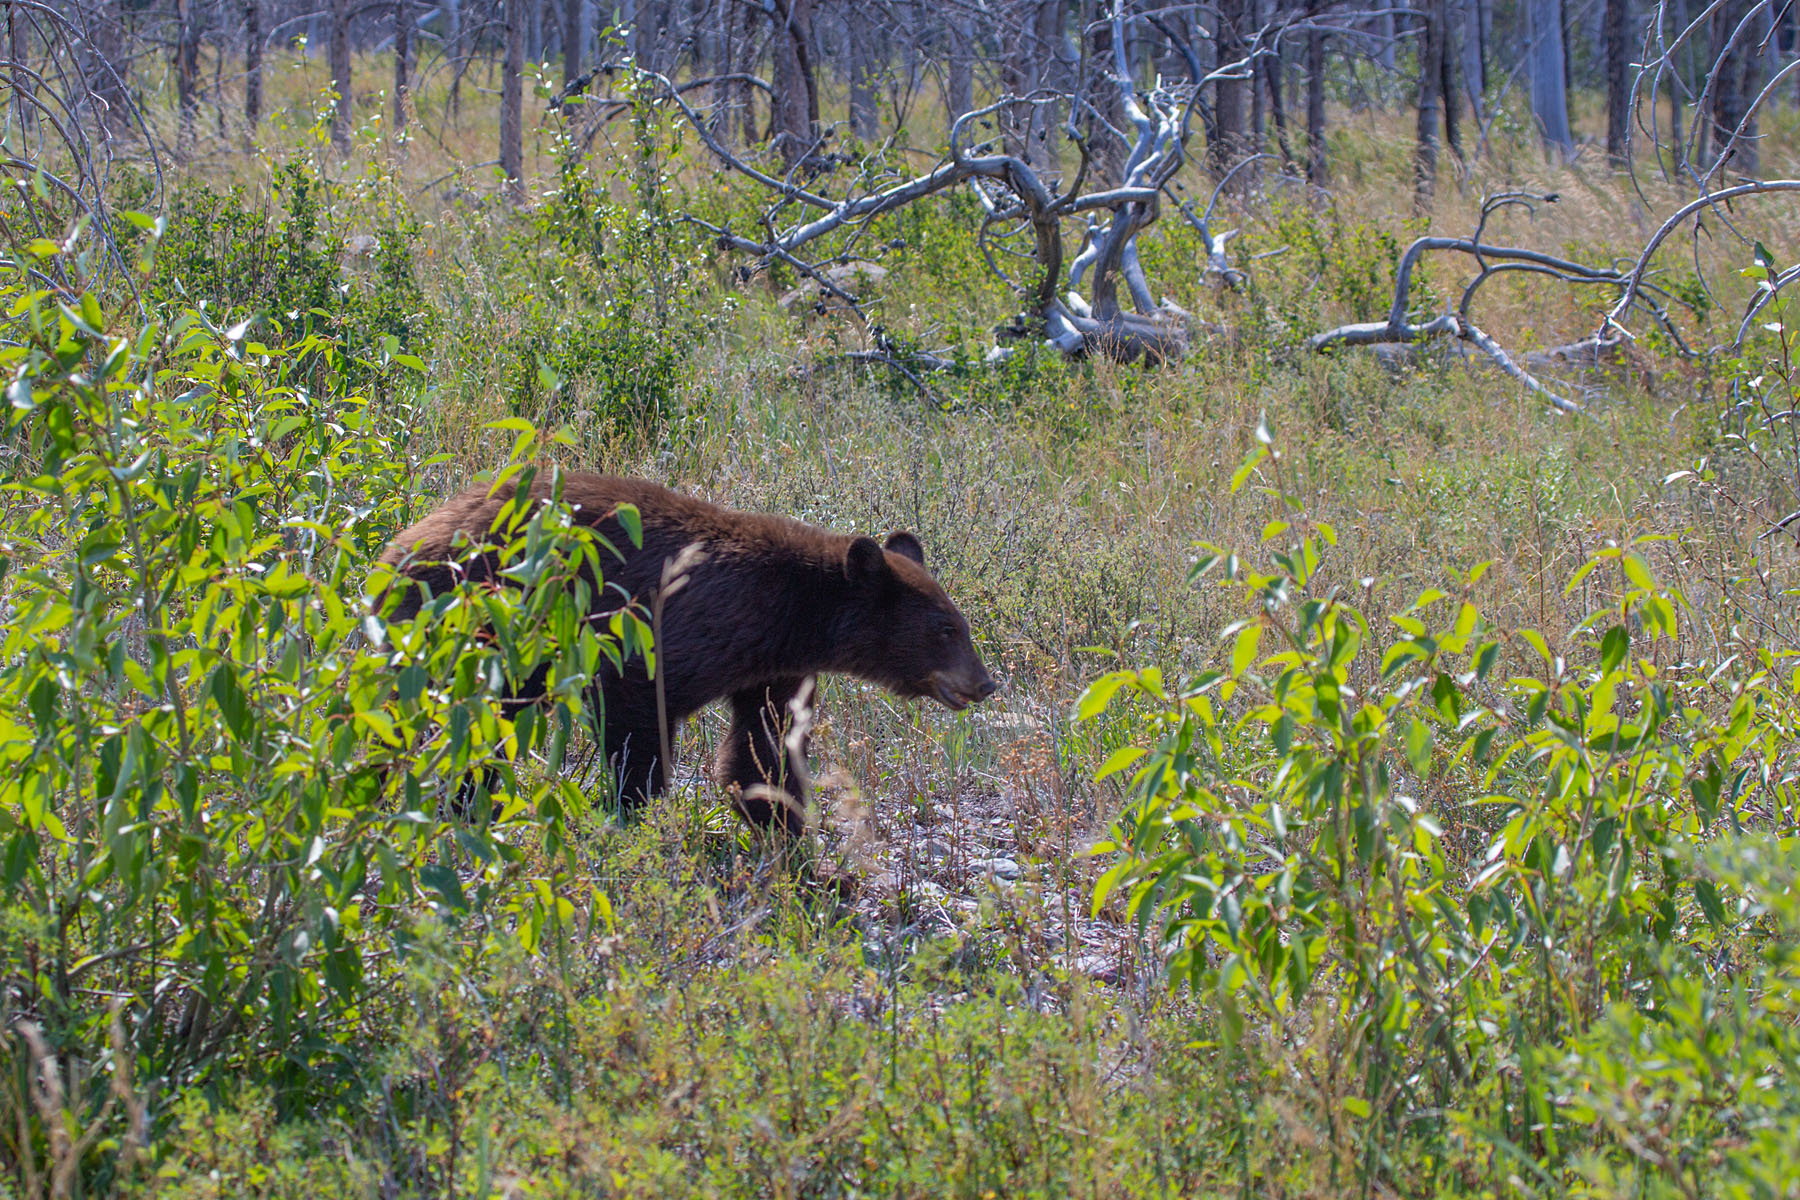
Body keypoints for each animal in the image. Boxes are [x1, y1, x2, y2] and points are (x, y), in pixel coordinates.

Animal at [379, 471, 1000, 834]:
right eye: (947, 628)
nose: (985, 682)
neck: (793, 611)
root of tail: (393, 551)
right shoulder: (675, 627)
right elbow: (638, 716)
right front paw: (632, 809)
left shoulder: (773, 667)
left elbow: (764, 743)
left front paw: (785, 831)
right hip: (485, 615)